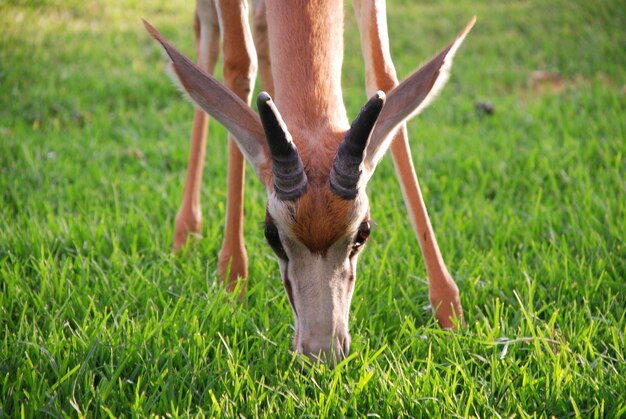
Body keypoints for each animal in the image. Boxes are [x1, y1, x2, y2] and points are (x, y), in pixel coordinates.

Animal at [141, 0, 472, 364]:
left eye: (363, 232)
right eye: (271, 235)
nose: (322, 351)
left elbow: (383, 73)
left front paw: (448, 308)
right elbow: (237, 67)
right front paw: (231, 280)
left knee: (260, 28)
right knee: (208, 31)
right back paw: (186, 231)